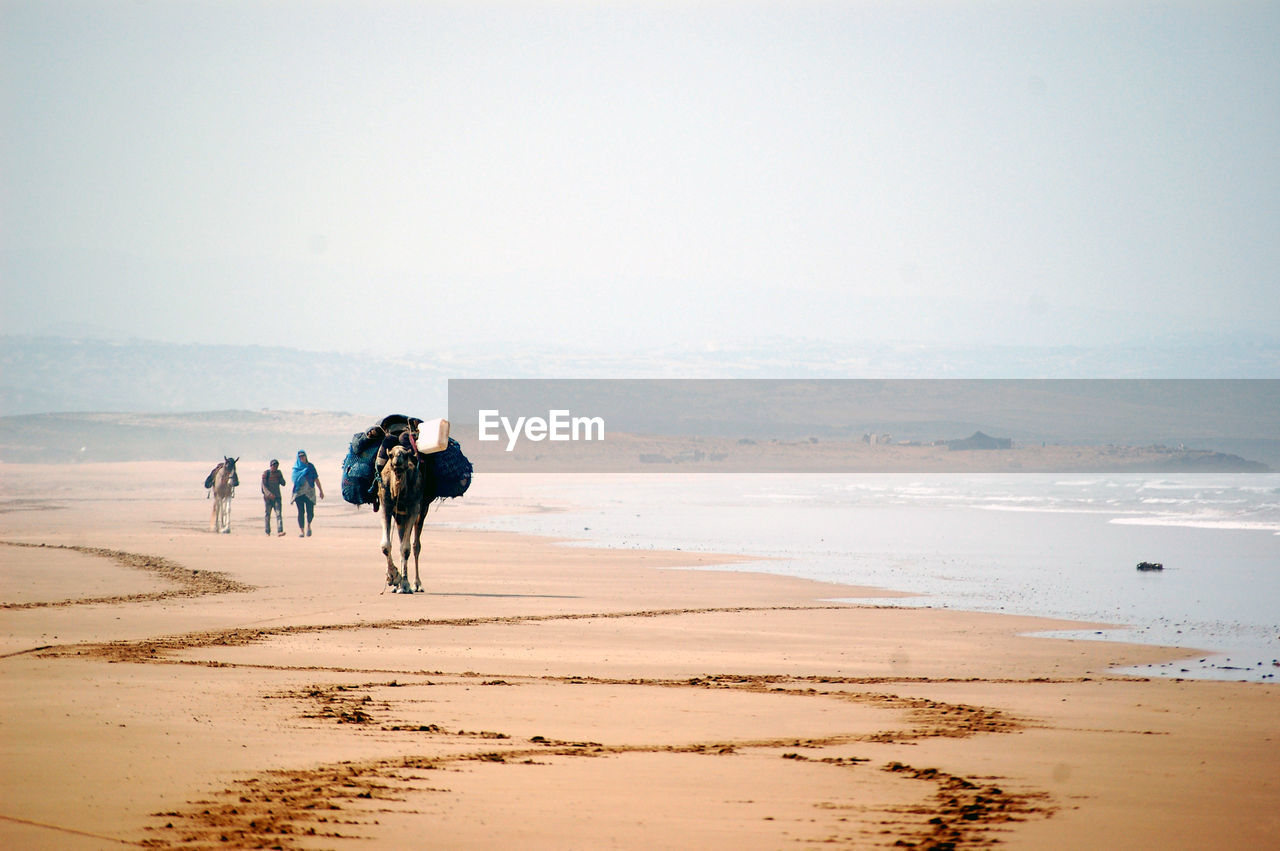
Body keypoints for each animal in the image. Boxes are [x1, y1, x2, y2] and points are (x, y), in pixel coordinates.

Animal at [378, 445, 430, 591]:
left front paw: (404, 583)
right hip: (400, 516)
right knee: (402, 538)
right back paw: (398, 585)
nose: (397, 462)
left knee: (415, 545)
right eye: (390, 455)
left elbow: (406, 548)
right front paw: (393, 577)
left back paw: (416, 584)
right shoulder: (385, 504)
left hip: (422, 510)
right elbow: (385, 545)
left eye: (406, 455)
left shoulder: (414, 507)